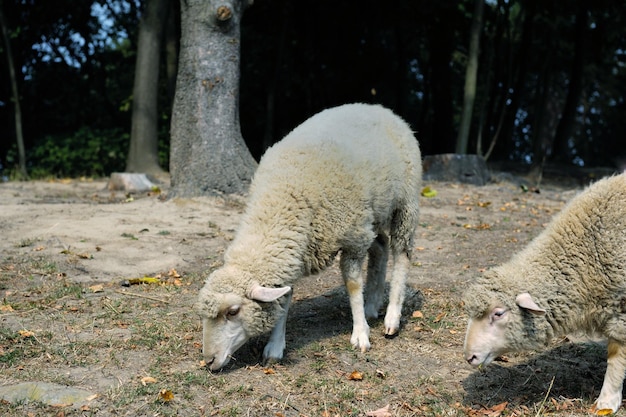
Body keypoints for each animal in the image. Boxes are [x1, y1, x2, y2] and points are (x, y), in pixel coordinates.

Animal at [195, 104, 420, 370]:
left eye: (232, 311)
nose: (208, 361)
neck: (282, 201)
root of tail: (380, 108)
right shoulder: (295, 250)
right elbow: (285, 299)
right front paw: (275, 346)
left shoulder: (353, 240)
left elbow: (353, 286)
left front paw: (360, 335)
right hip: (371, 216)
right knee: (382, 247)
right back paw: (372, 305)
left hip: (405, 203)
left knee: (401, 253)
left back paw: (392, 317)